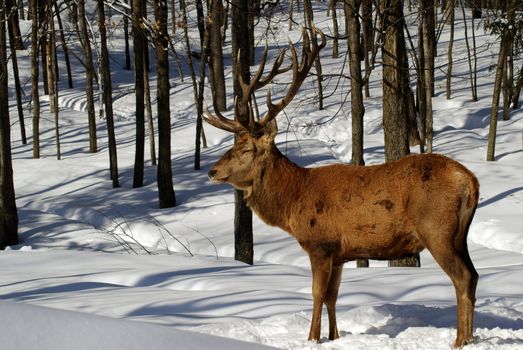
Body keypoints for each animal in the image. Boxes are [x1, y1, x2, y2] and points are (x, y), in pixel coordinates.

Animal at [204, 26, 478, 348]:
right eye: (233, 144)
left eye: (246, 149)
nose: (212, 171)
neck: (294, 199)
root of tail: (470, 181)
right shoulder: (340, 252)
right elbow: (333, 297)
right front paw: (333, 336)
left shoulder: (320, 243)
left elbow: (317, 294)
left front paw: (312, 338)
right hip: (460, 234)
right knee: (473, 276)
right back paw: (470, 338)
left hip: (437, 228)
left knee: (462, 277)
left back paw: (460, 340)